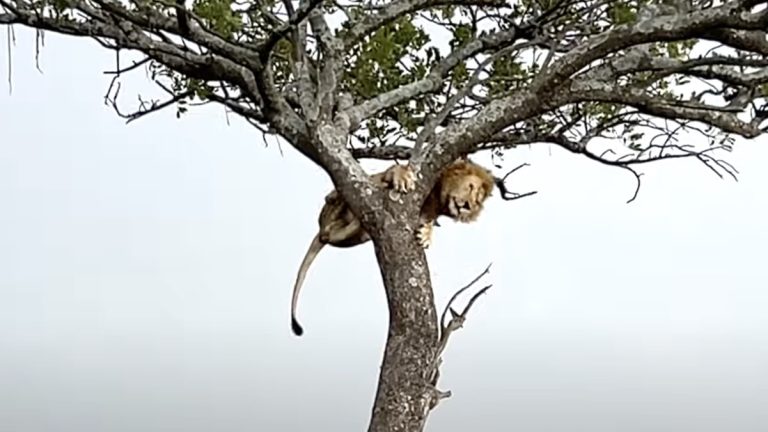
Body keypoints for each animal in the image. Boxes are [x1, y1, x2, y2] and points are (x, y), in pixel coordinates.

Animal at [290, 158, 495, 336]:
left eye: (477, 200)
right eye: (470, 187)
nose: (468, 206)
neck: (438, 198)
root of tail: (321, 226)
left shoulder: (428, 214)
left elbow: (428, 223)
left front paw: (426, 235)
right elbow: (394, 169)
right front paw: (402, 177)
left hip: (349, 234)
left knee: (330, 234)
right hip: (332, 211)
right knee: (339, 208)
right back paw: (333, 197)